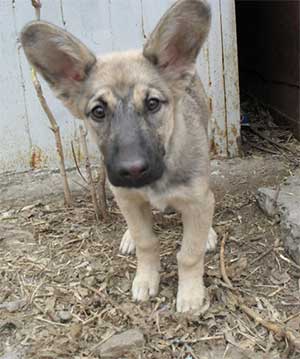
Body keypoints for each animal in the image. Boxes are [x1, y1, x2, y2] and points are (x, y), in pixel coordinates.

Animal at [21, 0, 217, 314]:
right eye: (98, 112)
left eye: (152, 104)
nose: (133, 170)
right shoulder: (126, 196)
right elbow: (146, 241)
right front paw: (146, 278)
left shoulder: (197, 201)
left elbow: (189, 252)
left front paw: (189, 293)